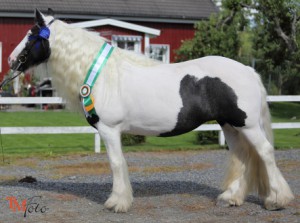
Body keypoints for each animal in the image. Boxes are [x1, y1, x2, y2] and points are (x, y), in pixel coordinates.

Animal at [6, 9, 292, 213]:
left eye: (32, 35)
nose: (10, 60)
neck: (103, 75)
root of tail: (249, 70)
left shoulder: (109, 130)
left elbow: (116, 163)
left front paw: (117, 202)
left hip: (247, 125)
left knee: (265, 152)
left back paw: (277, 200)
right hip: (230, 125)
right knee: (242, 156)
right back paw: (232, 198)